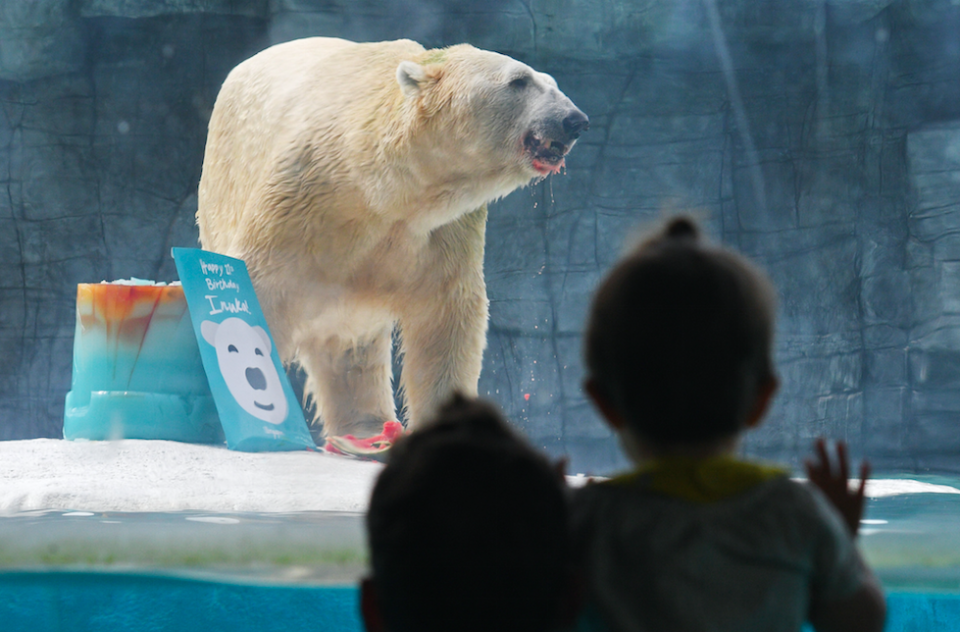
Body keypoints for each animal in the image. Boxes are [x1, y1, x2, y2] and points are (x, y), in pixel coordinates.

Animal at [197, 35, 584, 440]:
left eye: (552, 81)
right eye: (519, 80)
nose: (574, 120)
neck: (380, 188)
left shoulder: (445, 230)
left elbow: (446, 319)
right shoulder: (300, 195)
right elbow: (258, 287)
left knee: (350, 342)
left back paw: (366, 427)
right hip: (223, 186)